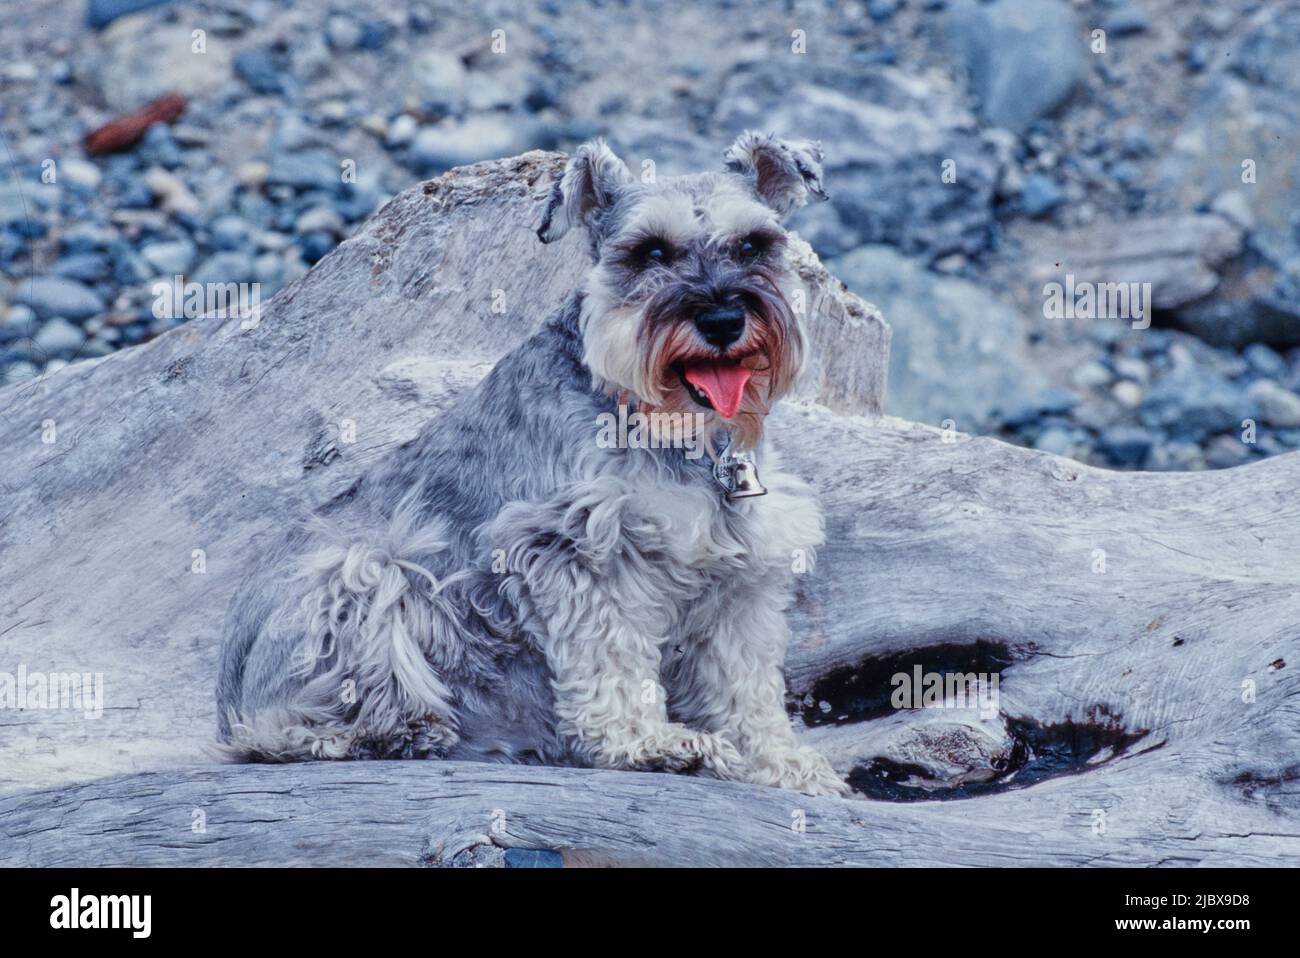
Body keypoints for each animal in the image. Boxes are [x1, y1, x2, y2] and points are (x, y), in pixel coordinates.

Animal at [218, 130, 847, 795]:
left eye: (754, 244)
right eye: (649, 252)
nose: (723, 319)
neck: (678, 433)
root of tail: (225, 697)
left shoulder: (740, 582)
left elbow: (744, 684)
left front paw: (779, 763)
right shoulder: (577, 550)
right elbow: (610, 659)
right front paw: (644, 744)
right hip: (360, 569)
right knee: (278, 732)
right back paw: (386, 730)